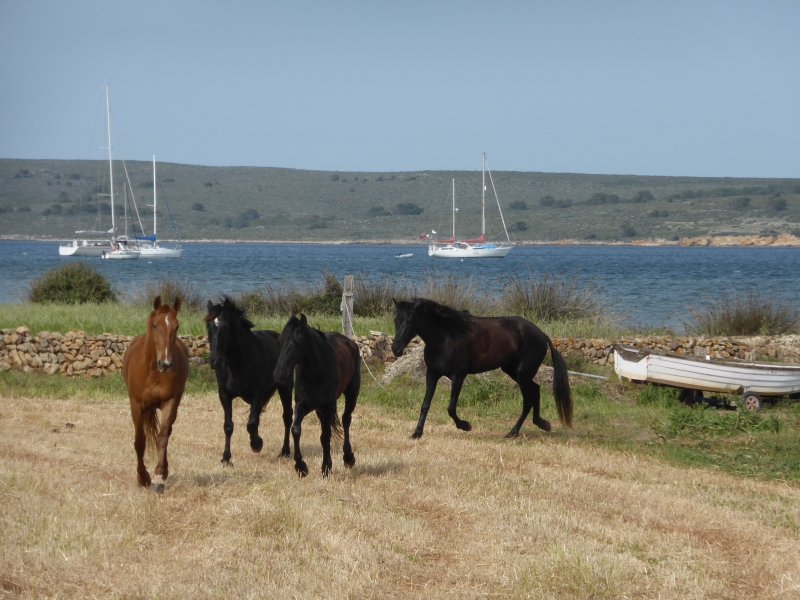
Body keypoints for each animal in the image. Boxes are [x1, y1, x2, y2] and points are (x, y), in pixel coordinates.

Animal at [122, 294, 189, 492]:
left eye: (176, 326)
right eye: (155, 325)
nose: (165, 364)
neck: (152, 370)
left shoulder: (170, 402)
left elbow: (162, 438)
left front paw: (158, 477)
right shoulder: (136, 405)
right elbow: (139, 441)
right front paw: (142, 477)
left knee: (168, 432)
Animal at [205, 298, 296, 462]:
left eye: (225, 326)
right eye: (208, 326)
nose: (215, 361)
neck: (236, 364)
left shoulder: (257, 394)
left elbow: (251, 424)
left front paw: (257, 444)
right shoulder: (224, 394)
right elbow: (228, 426)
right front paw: (226, 458)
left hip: (285, 387)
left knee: (287, 417)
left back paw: (285, 451)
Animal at [276, 314, 362, 478]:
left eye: (296, 343)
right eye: (281, 341)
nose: (279, 375)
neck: (316, 373)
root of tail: (350, 343)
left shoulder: (328, 407)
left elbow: (326, 436)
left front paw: (326, 467)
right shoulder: (302, 404)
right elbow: (296, 429)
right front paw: (301, 467)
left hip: (351, 394)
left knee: (346, 420)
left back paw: (348, 458)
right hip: (319, 410)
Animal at [390, 298, 572, 438]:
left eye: (410, 321)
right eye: (395, 321)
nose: (396, 348)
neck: (447, 338)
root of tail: (542, 335)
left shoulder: (458, 376)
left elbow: (451, 408)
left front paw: (465, 426)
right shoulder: (432, 374)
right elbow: (425, 405)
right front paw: (417, 433)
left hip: (522, 374)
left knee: (528, 399)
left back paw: (513, 432)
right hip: (513, 371)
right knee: (536, 391)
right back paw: (542, 424)